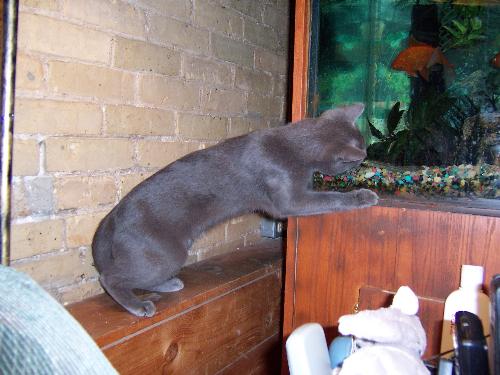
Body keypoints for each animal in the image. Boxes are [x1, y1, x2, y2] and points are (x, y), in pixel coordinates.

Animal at [92, 104, 376, 318]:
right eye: (358, 156)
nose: (366, 158)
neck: (296, 147)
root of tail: (110, 219)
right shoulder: (291, 201)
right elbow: (329, 198)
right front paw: (363, 195)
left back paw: (169, 283)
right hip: (165, 253)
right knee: (110, 278)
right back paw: (139, 305)